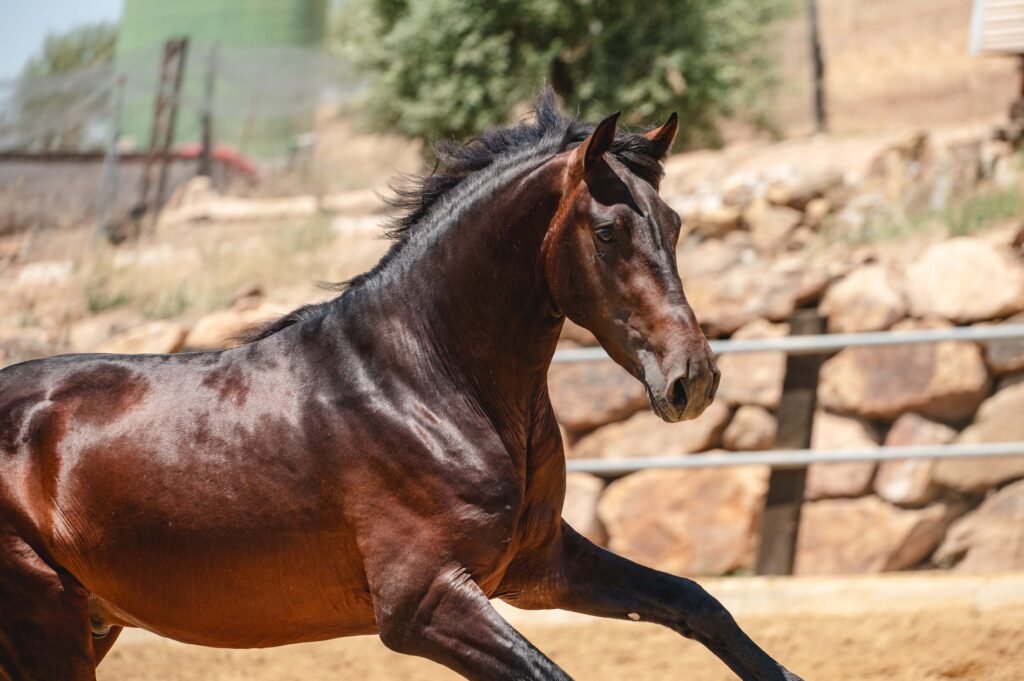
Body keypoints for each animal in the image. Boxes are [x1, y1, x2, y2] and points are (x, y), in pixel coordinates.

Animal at [0, 89, 801, 681]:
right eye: (608, 232)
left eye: (674, 222)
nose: (693, 380)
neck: (426, 384)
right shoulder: (424, 604)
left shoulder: (538, 564)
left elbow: (695, 600)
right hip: (47, 625)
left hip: (88, 622)